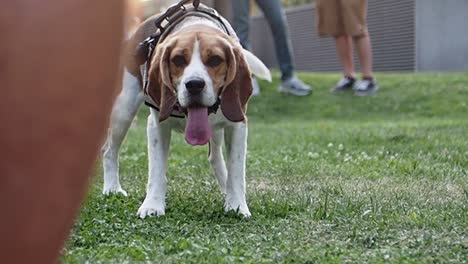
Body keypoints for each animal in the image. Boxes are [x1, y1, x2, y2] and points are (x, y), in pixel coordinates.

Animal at [102, 5, 270, 219]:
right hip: (124, 111)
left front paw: (237, 205)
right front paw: (152, 205)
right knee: (109, 150)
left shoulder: (238, 125)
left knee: (215, 157)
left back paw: (226, 189)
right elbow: (156, 171)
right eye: (178, 60)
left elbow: (236, 170)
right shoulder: (156, 126)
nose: (194, 85)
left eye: (215, 60)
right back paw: (112, 188)